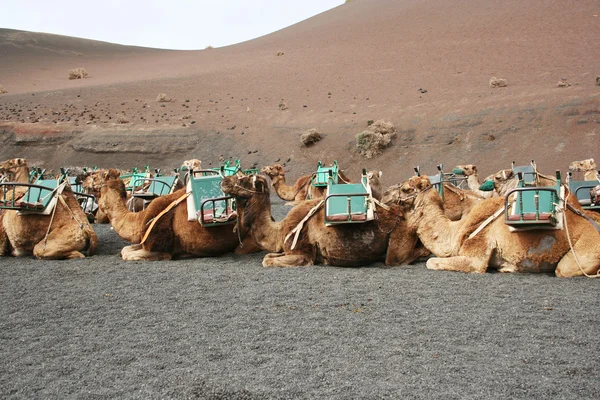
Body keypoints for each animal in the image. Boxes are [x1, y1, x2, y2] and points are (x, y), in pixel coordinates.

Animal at [96, 168, 260, 260]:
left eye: (99, 188)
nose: (96, 215)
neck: (141, 220)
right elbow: (125, 250)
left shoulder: (161, 251)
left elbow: (127, 254)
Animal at [218, 173, 420, 268]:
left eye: (244, 178)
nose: (224, 181)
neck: (279, 231)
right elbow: (268, 256)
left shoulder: (301, 252)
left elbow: (266, 260)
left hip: (397, 240)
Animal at [392, 175, 600, 278]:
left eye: (406, 188)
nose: (387, 194)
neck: (455, 231)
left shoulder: (477, 254)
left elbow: (432, 262)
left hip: (581, 253)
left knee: (563, 270)